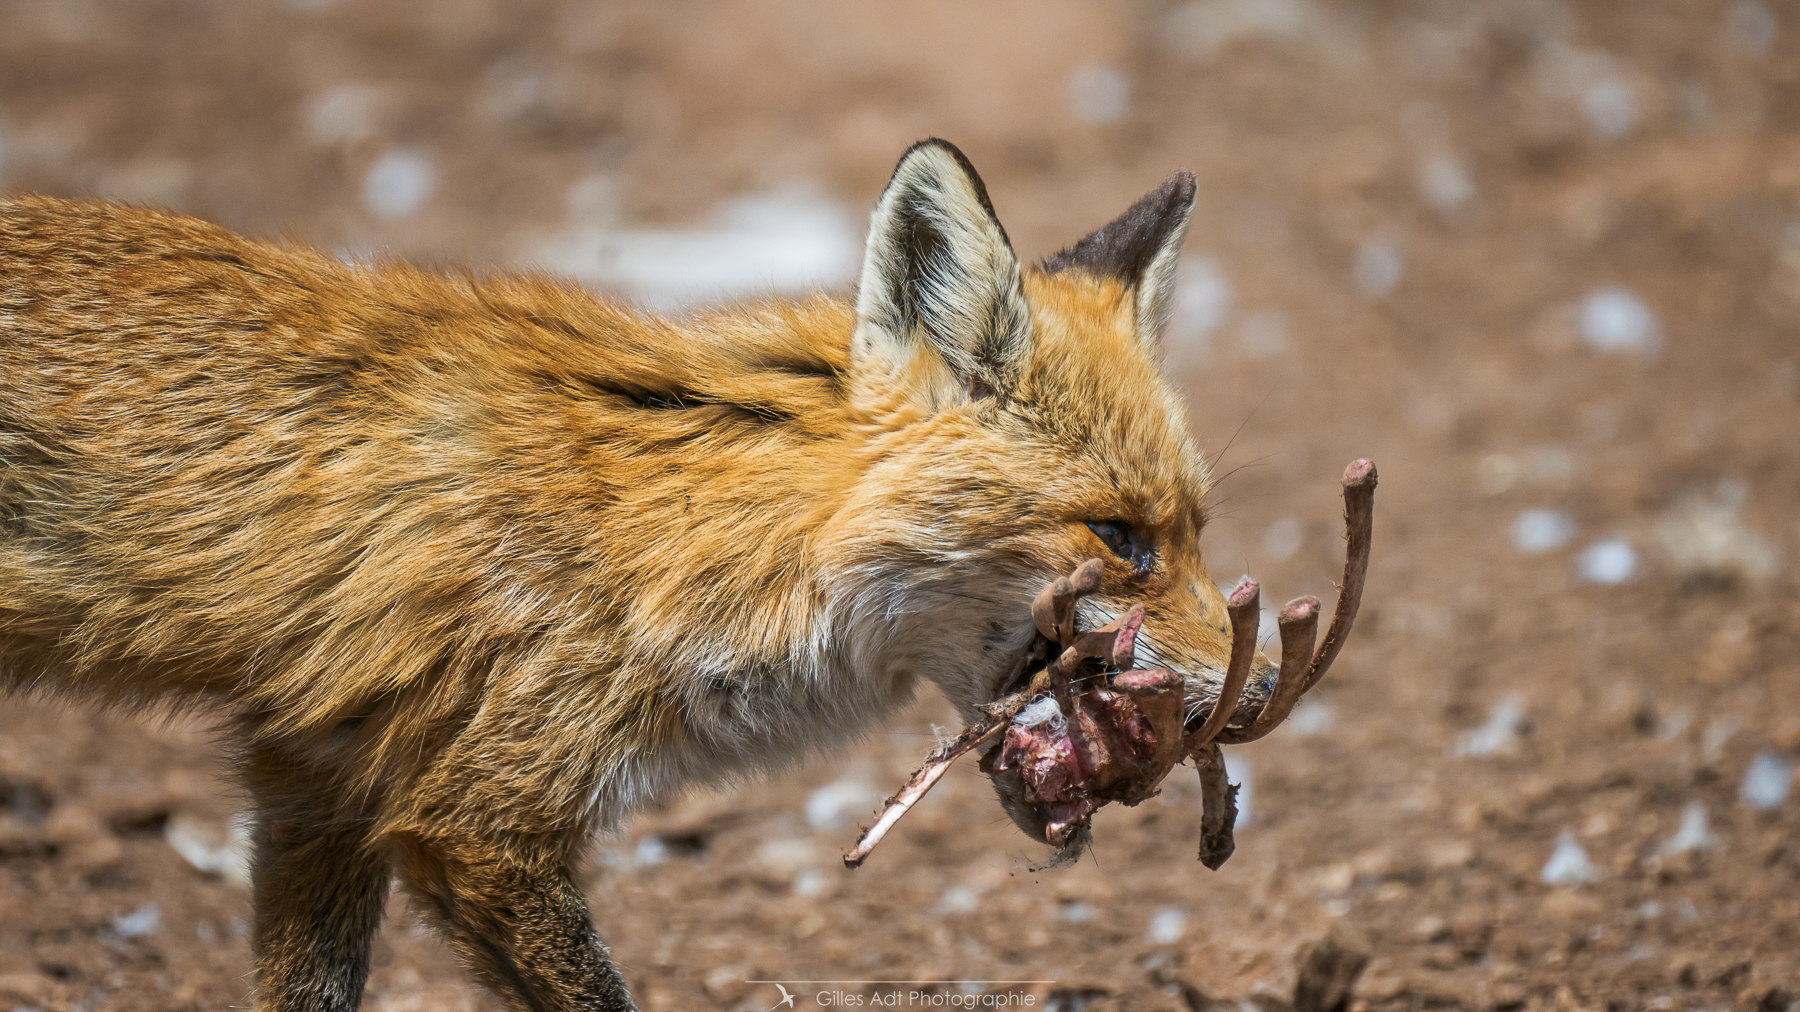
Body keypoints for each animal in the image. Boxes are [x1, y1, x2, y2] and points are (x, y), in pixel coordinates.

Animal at [3, 142, 1267, 1008]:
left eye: (1197, 533)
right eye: (1123, 536)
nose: (1259, 695)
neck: (677, 532)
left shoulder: (313, 780)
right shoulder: (476, 822)